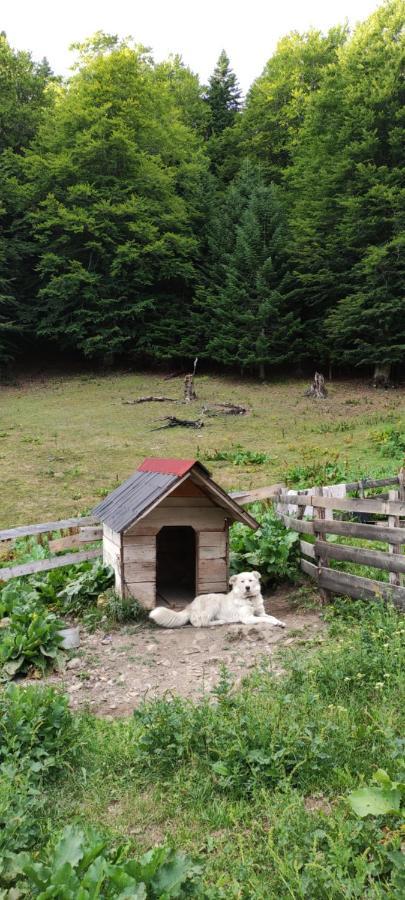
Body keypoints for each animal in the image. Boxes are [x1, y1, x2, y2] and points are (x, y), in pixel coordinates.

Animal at [148, 572, 284, 628]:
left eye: (250, 580)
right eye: (242, 581)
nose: (247, 587)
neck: (250, 599)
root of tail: (190, 605)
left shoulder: (260, 613)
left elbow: (270, 616)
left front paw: (280, 622)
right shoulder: (247, 618)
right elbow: (265, 619)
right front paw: (275, 623)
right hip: (213, 603)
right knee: (200, 623)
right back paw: (220, 622)